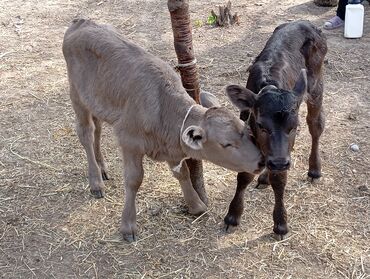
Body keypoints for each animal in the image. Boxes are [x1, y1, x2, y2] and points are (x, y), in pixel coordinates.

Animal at [224, 20, 326, 238]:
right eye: (261, 125)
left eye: (293, 126)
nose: (279, 162)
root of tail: (305, 23)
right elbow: (244, 174)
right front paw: (233, 216)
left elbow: (279, 179)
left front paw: (280, 223)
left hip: (316, 86)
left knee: (315, 125)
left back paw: (314, 170)